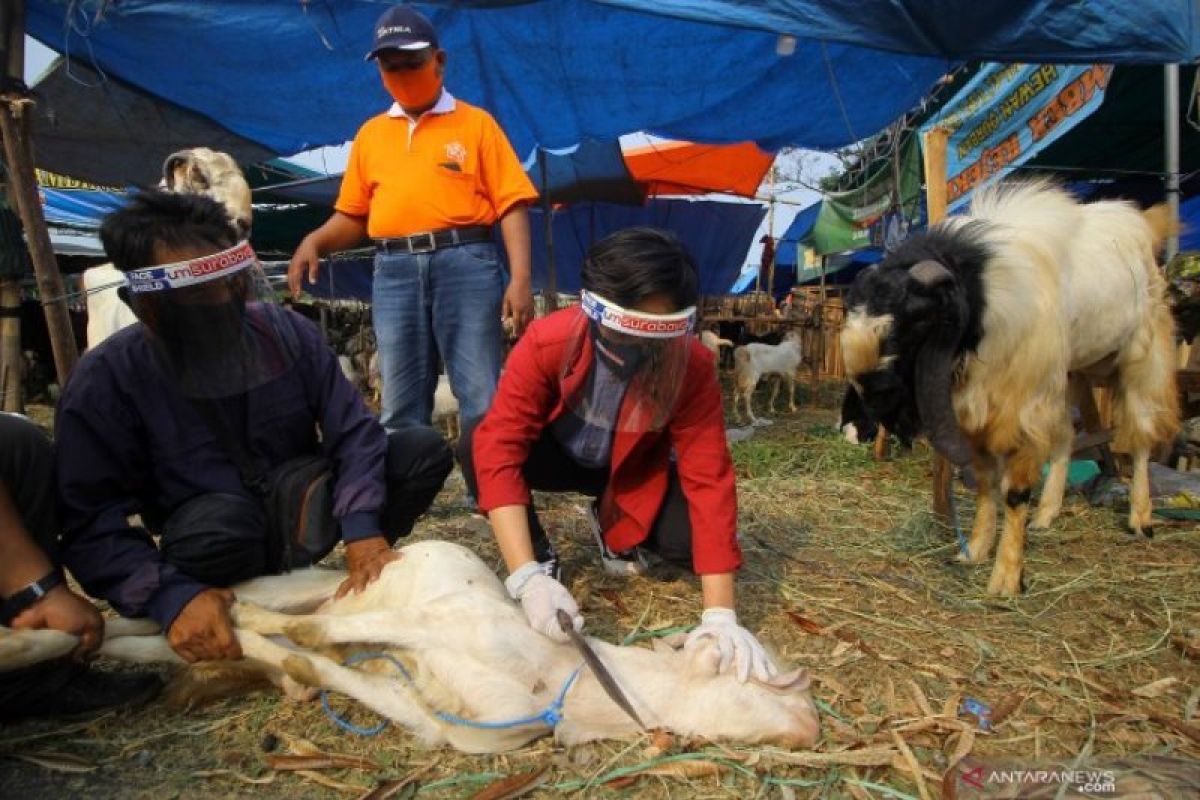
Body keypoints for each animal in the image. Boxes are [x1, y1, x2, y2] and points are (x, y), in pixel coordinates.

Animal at [0, 542, 820, 753]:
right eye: (764, 672)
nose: (814, 725)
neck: (562, 681)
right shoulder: (434, 621)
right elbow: (321, 639)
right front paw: (268, 638)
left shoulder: (435, 724)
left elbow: (342, 674)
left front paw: (294, 669)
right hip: (304, 582)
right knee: (229, 604)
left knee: (163, 645)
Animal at [840, 181, 1176, 594]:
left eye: (916, 319)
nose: (873, 398)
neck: (985, 292)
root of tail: (1140, 223)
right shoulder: (978, 411)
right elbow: (987, 483)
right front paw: (975, 550)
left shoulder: (1021, 407)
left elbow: (1014, 492)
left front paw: (1006, 577)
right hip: (1068, 373)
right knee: (1066, 436)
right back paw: (1046, 514)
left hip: (1140, 357)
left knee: (1141, 435)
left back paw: (1140, 519)